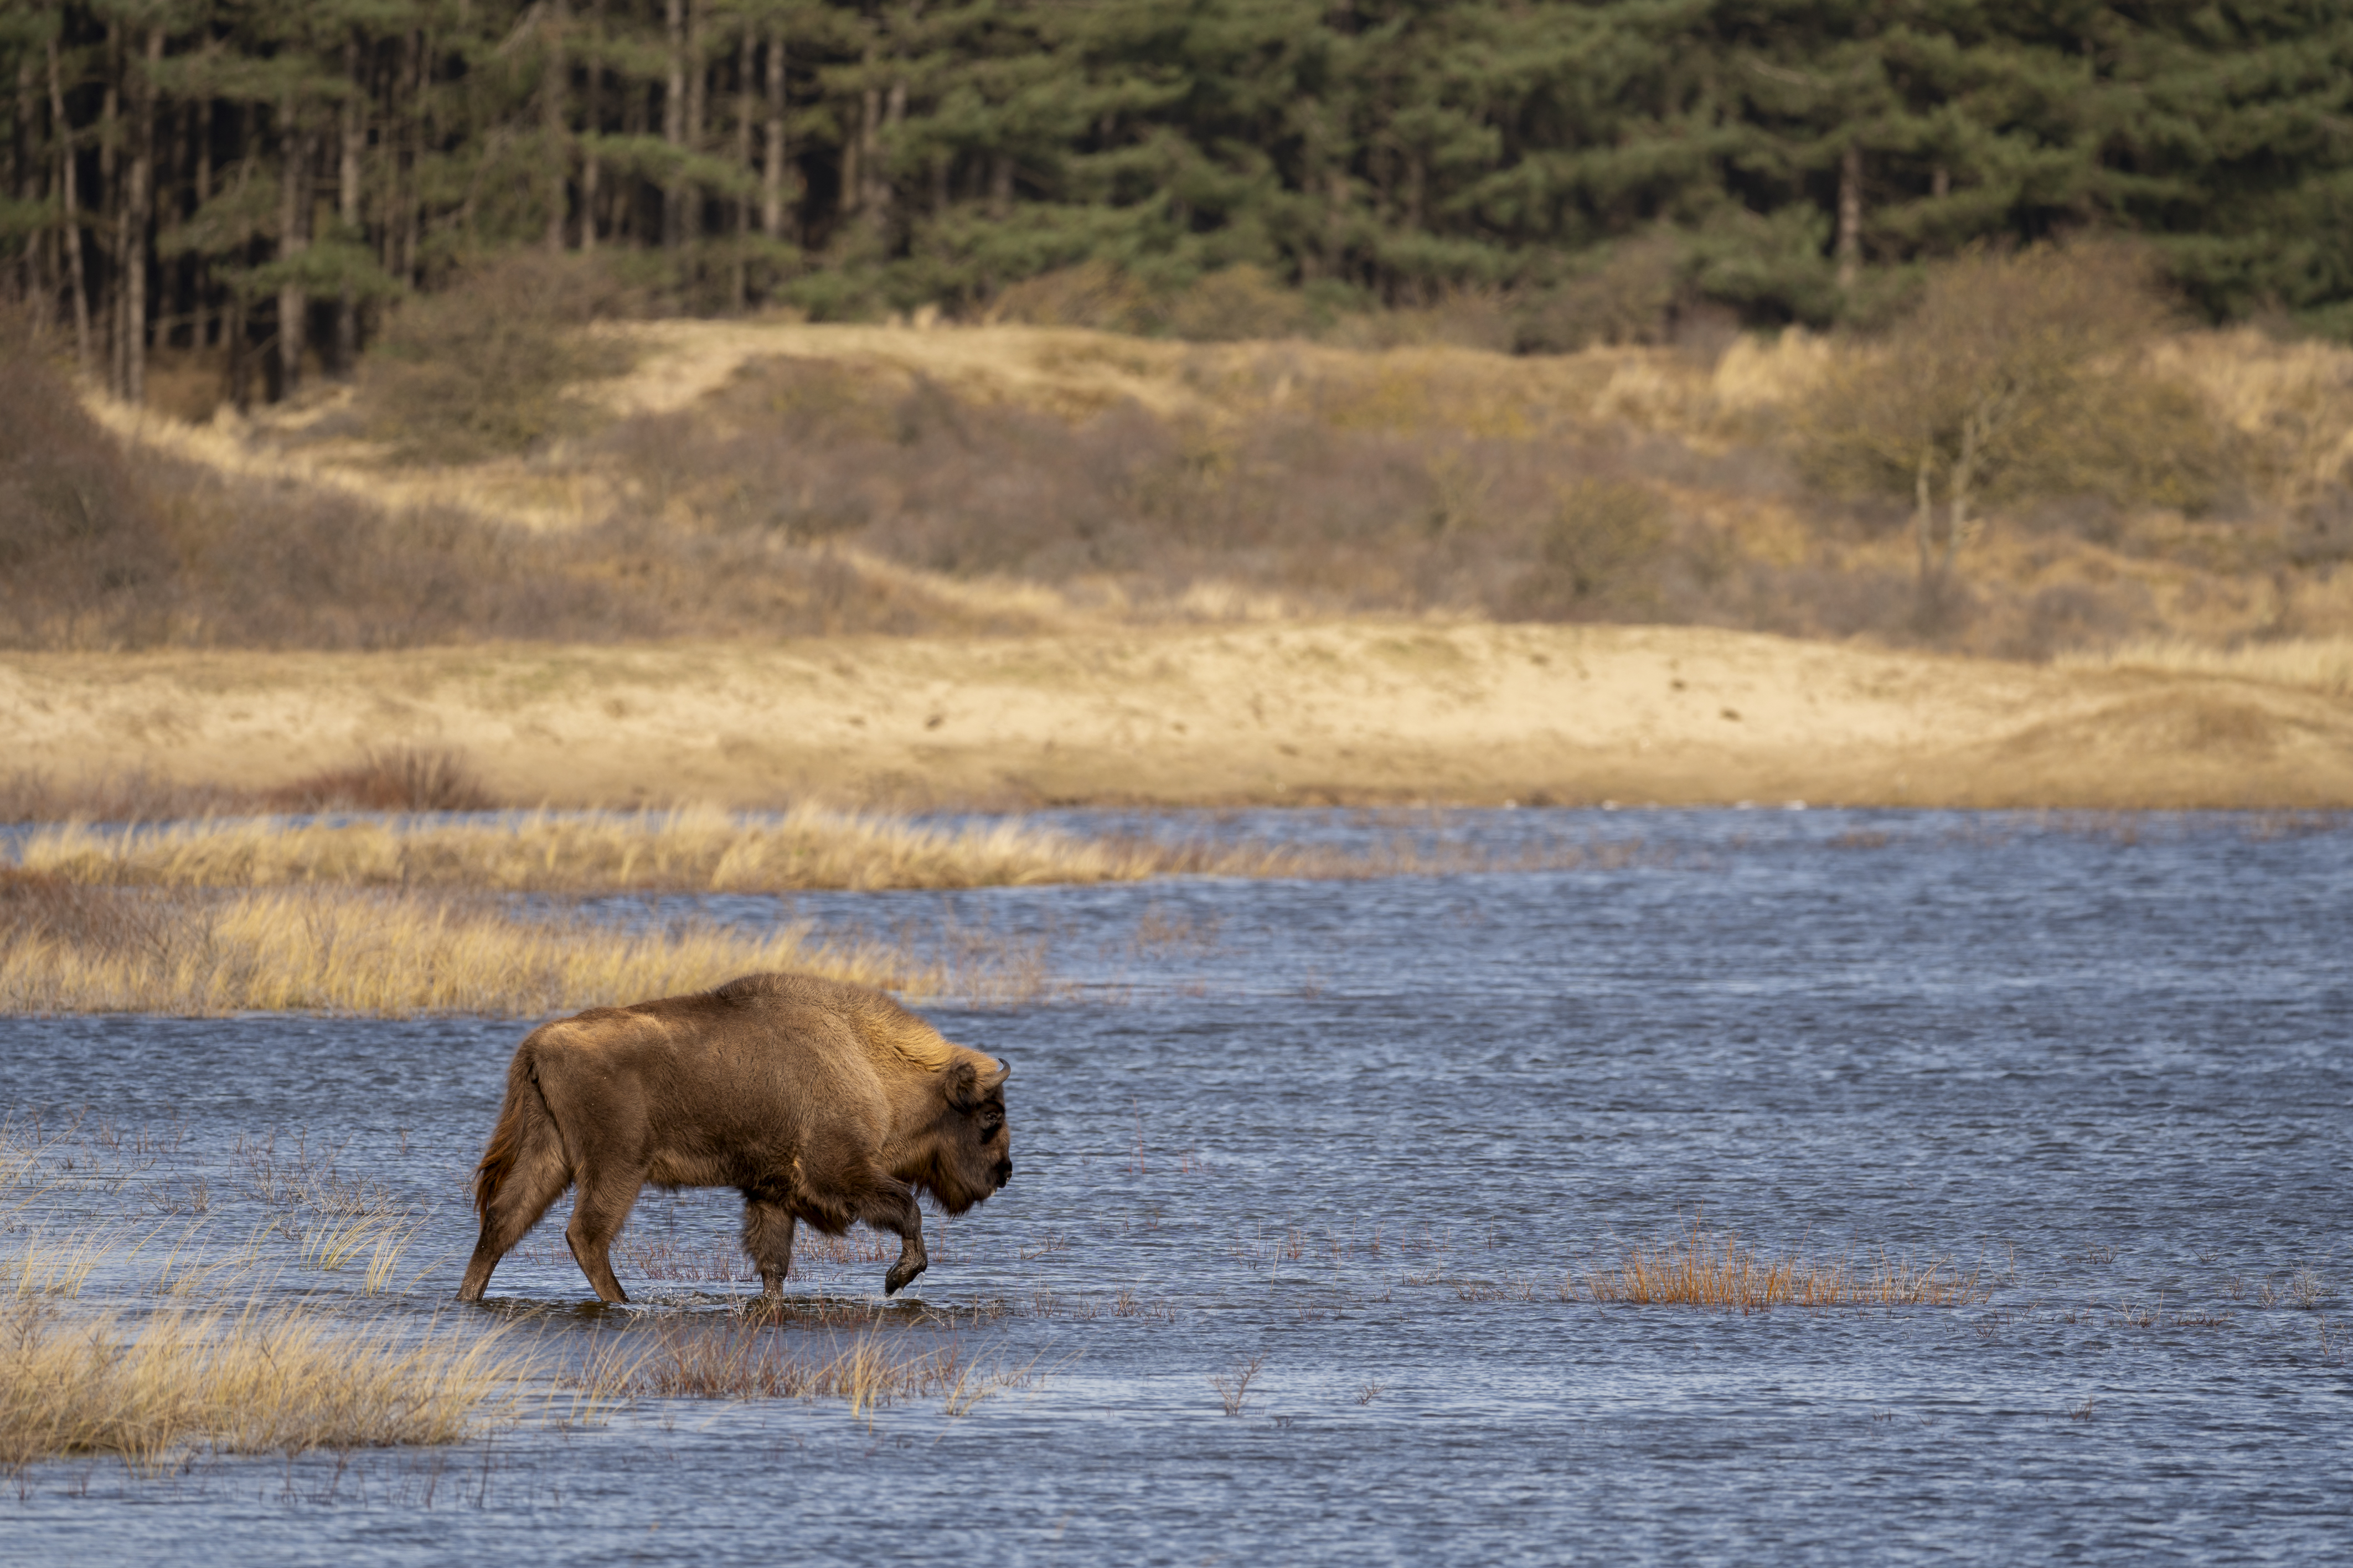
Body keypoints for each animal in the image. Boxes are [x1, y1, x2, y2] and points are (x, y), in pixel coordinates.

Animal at [458, 973, 1012, 1307]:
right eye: (990, 1115)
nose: (1004, 1173)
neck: (864, 1056)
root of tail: (538, 1044)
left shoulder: (771, 1192)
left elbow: (774, 1262)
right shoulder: (841, 1171)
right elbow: (906, 1209)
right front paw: (897, 1279)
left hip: (549, 1153)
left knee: (504, 1221)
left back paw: (469, 1298)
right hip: (616, 1165)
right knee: (587, 1234)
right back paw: (625, 1301)